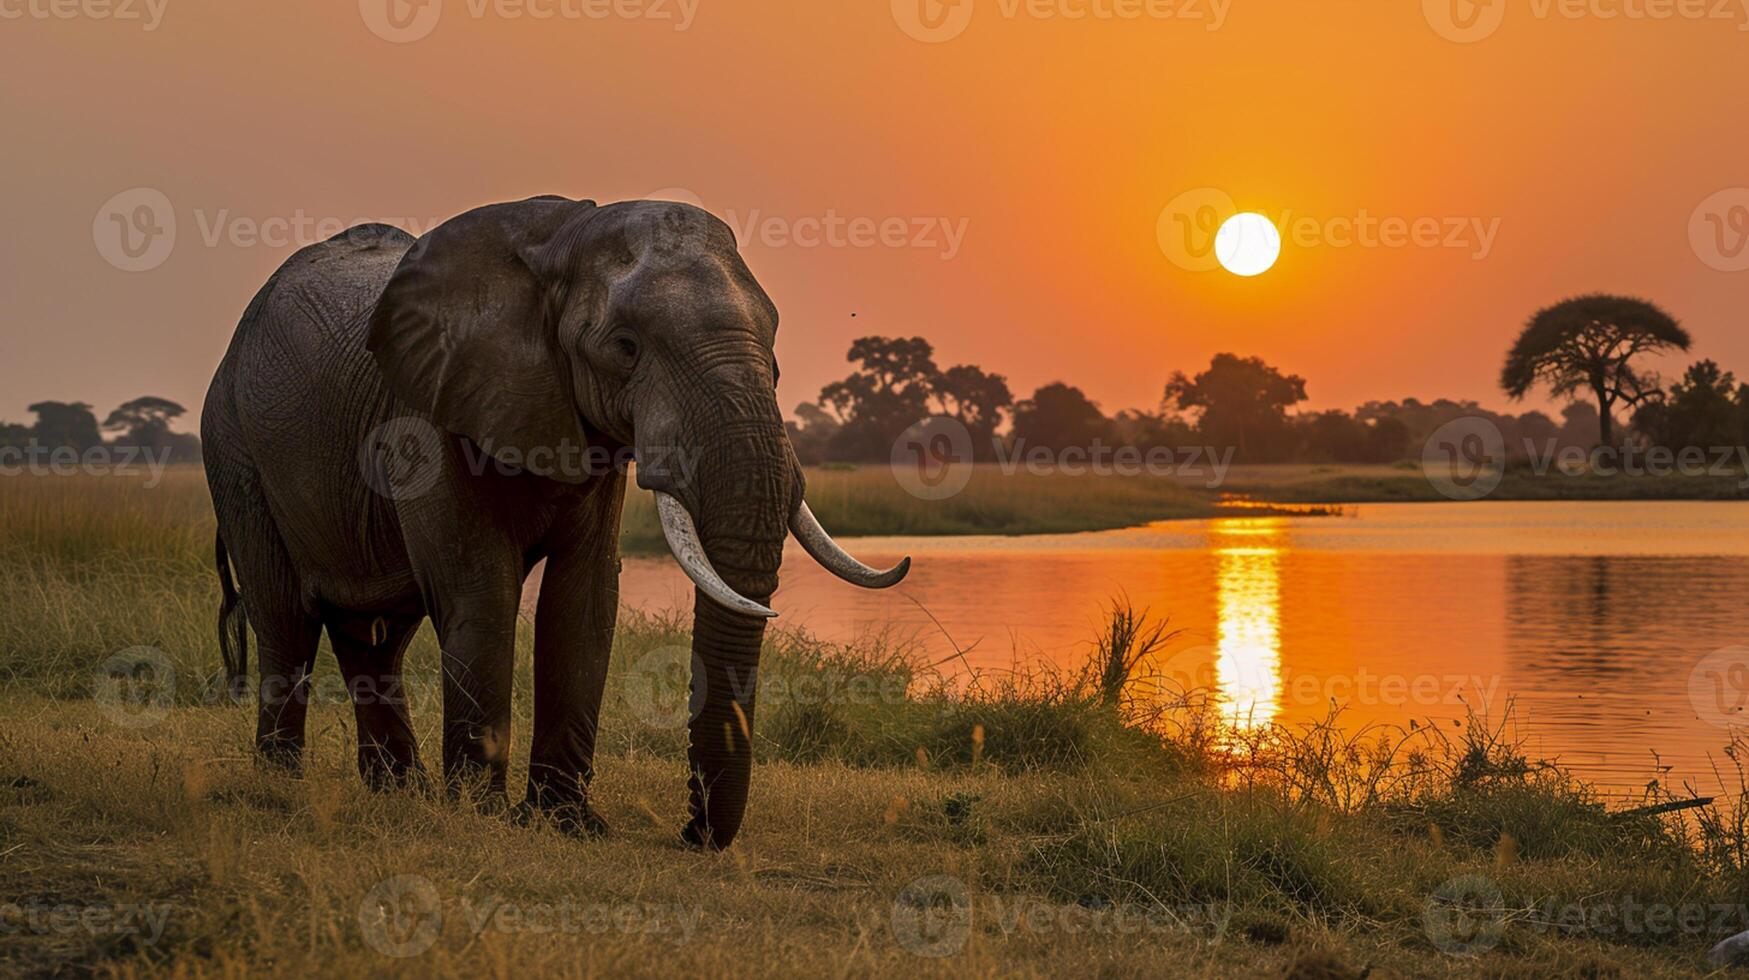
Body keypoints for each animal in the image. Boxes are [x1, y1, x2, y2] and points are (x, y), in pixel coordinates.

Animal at [202, 196, 909, 850]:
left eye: (776, 353)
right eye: (625, 347)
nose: (688, 835)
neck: (563, 242)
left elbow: (585, 596)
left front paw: (569, 824)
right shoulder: (431, 409)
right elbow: (480, 590)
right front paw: (482, 816)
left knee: (373, 634)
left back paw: (400, 794)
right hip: (234, 448)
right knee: (287, 620)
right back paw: (282, 786)